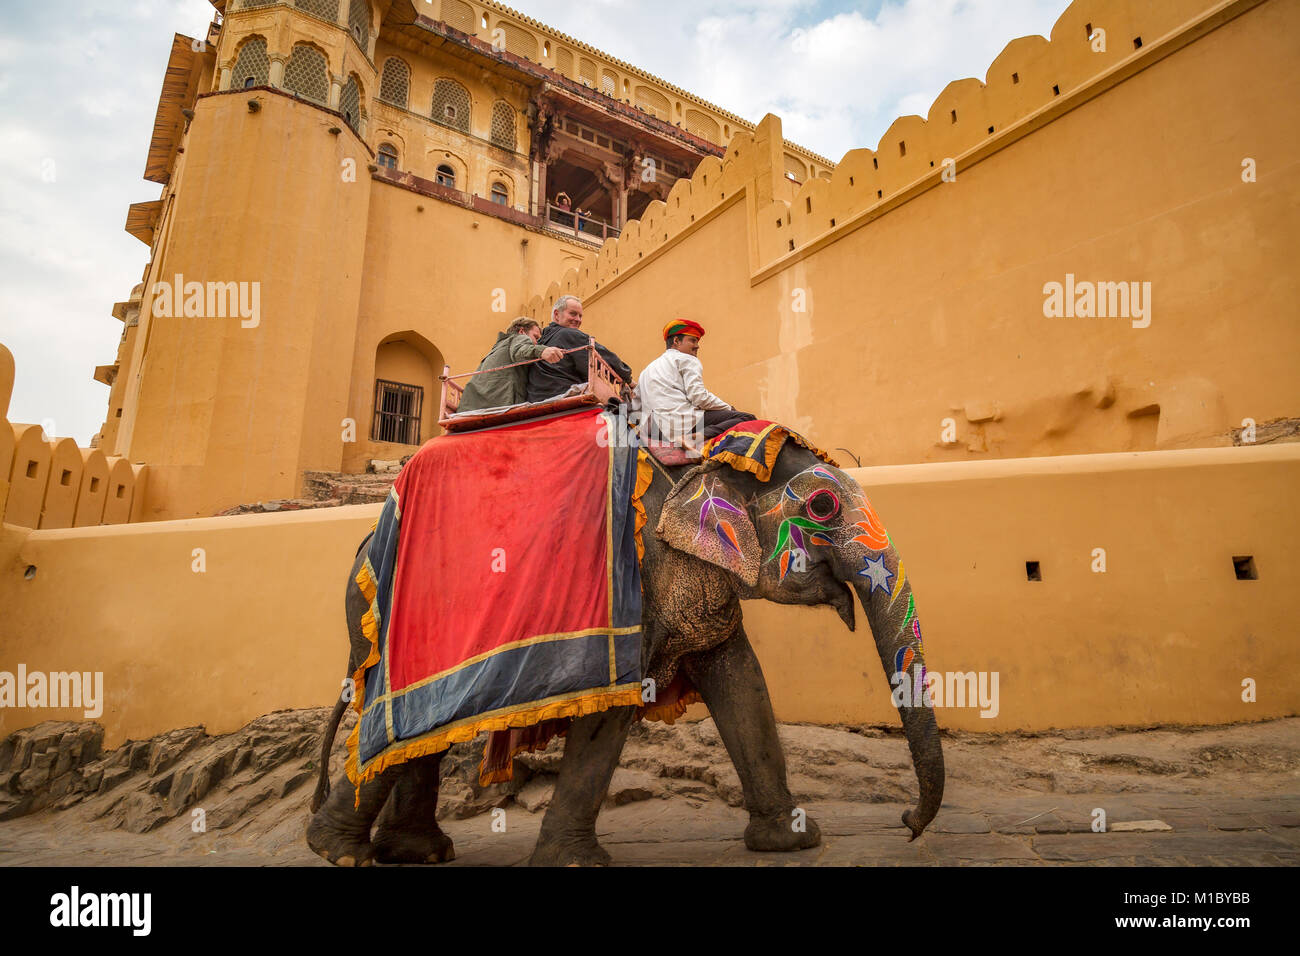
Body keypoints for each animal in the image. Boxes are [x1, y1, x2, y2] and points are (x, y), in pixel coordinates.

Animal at [305, 439, 944, 866]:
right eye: (822, 507)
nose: (908, 824)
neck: (699, 467)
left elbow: (740, 680)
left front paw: (791, 843)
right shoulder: (635, 585)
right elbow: (611, 709)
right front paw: (576, 865)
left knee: (422, 735)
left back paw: (416, 853)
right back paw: (340, 852)